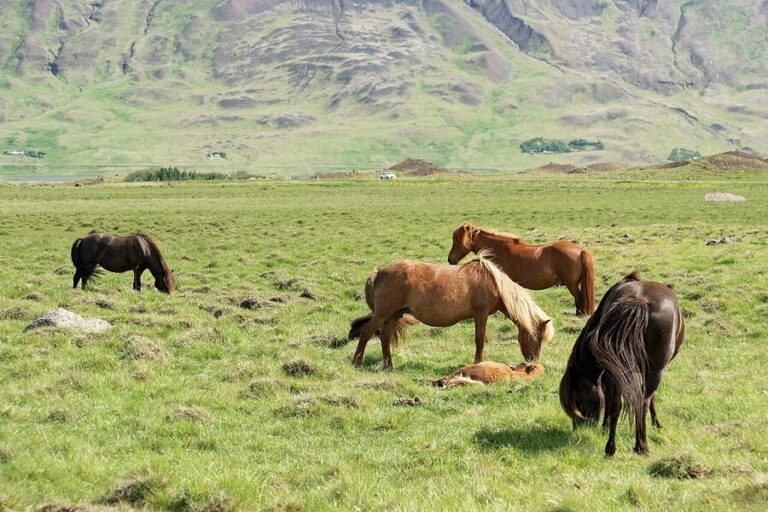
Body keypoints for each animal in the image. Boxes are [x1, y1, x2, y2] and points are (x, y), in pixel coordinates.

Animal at [348, 250, 554, 370]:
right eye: (537, 338)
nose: (533, 361)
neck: (493, 282)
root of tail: (379, 272)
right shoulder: (481, 314)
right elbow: (480, 340)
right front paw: (478, 363)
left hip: (393, 315)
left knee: (385, 338)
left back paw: (389, 366)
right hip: (382, 314)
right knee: (366, 333)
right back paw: (357, 363)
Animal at [447, 223, 595, 316]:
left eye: (458, 241)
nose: (450, 260)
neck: (499, 250)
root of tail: (580, 251)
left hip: (571, 284)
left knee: (579, 298)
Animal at [559, 272, 684, 456]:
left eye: (579, 398)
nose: (579, 427)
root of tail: (639, 301)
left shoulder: (610, 372)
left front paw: (605, 427)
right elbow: (651, 399)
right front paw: (656, 424)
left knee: (617, 404)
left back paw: (610, 448)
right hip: (654, 372)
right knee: (642, 401)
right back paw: (641, 446)